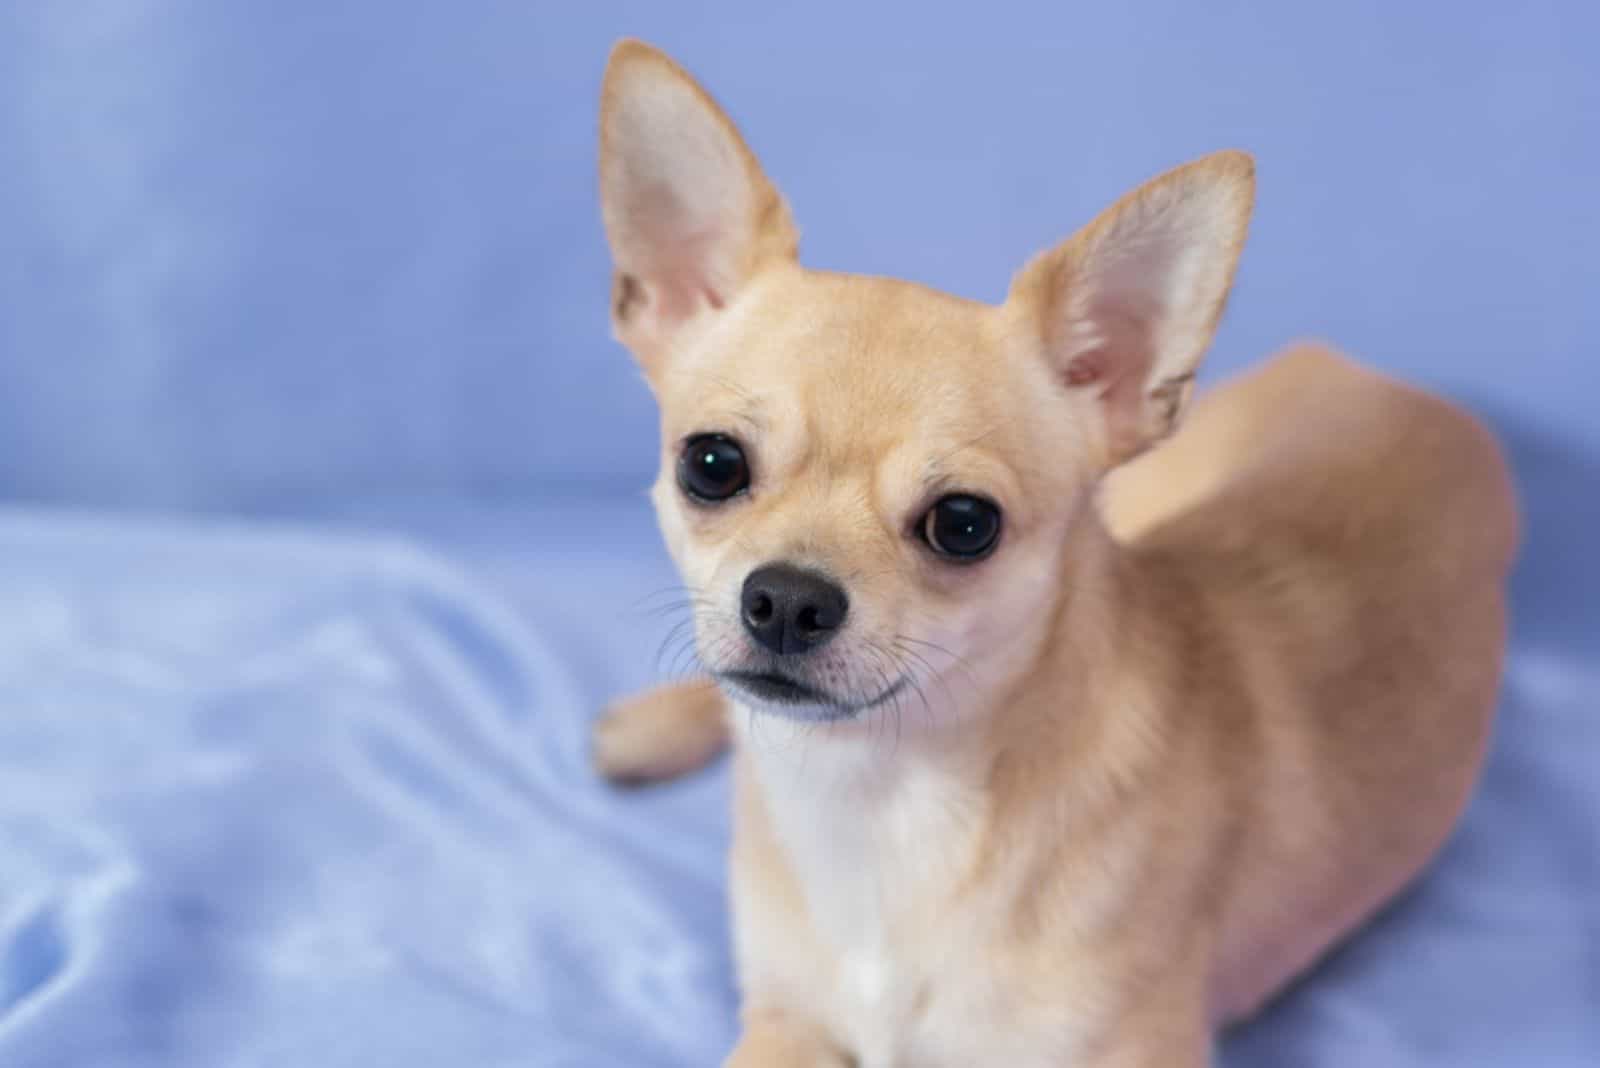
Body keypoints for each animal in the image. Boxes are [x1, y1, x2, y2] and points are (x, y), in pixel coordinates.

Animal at [595, 37, 1516, 1061]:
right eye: (711, 464)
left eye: (965, 524)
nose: (789, 598)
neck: (878, 801)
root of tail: (1381, 379)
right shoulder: (785, 1020)